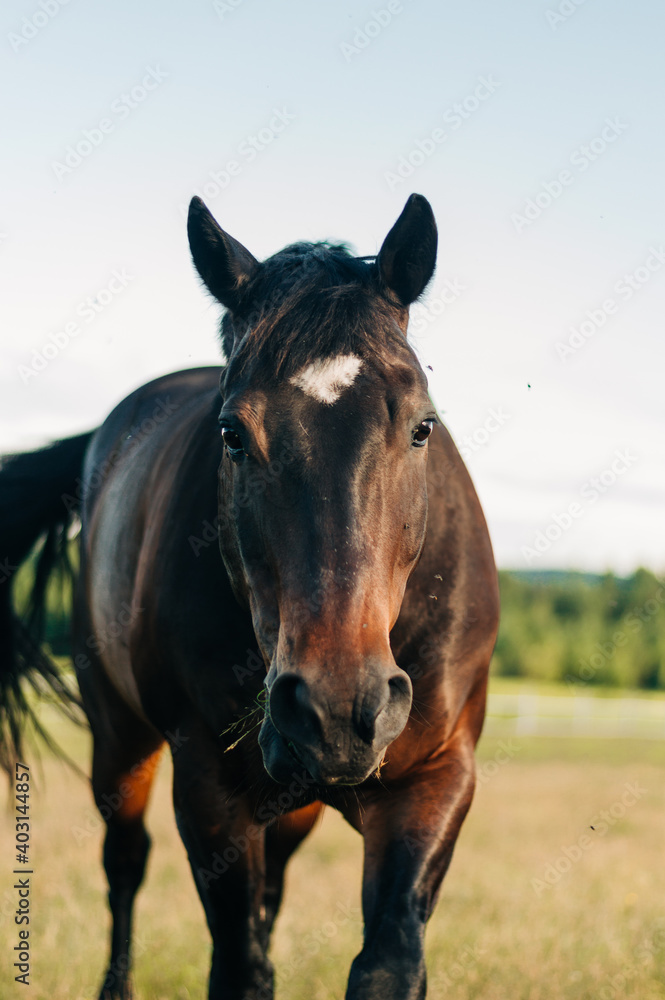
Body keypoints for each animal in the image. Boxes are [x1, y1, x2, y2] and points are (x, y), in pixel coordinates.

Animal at [0, 193, 499, 1000]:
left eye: (422, 426)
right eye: (233, 434)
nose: (338, 707)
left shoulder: (437, 776)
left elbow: (388, 960)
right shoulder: (209, 787)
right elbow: (238, 965)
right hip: (119, 740)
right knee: (124, 864)